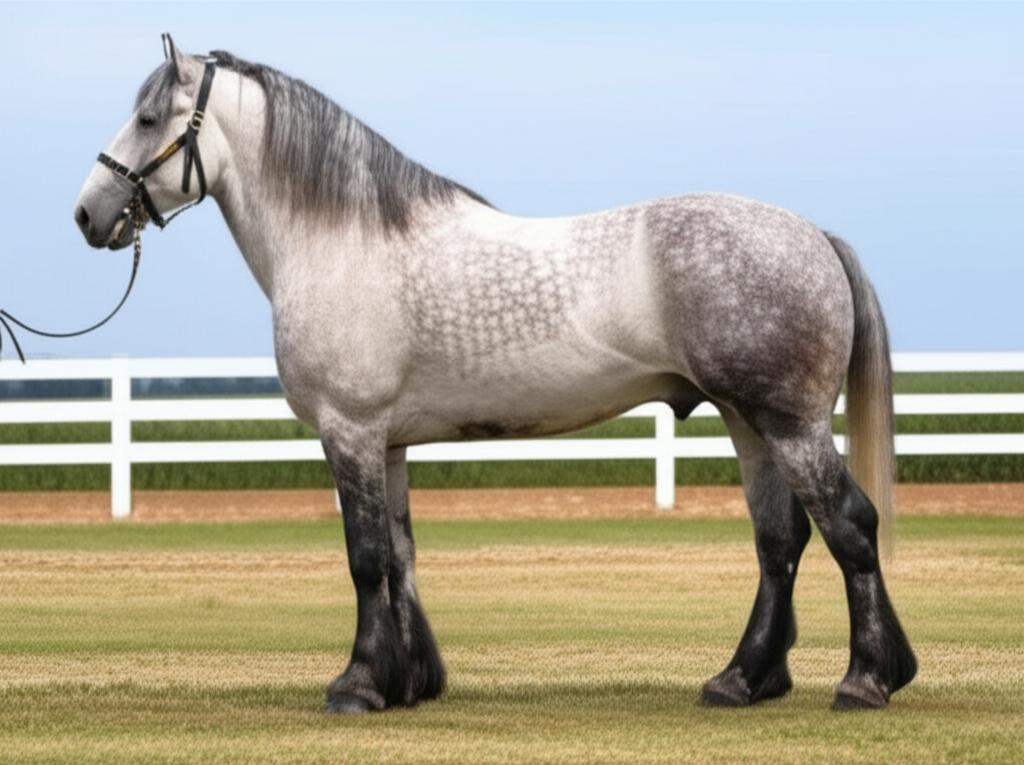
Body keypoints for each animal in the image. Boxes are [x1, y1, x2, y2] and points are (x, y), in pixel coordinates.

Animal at [74, 36, 916, 713]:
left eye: (148, 119)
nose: (88, 213)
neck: (340, 239)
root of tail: (813, 235)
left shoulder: (350, 431)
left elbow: (365, 558)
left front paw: (358, 685)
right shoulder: (387, 443)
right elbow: (401, 555)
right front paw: (411, 681)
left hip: (790, 423)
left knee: (849, 526)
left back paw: (866, 679)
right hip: (748, 422)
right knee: (779, 542)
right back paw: (742, 679)